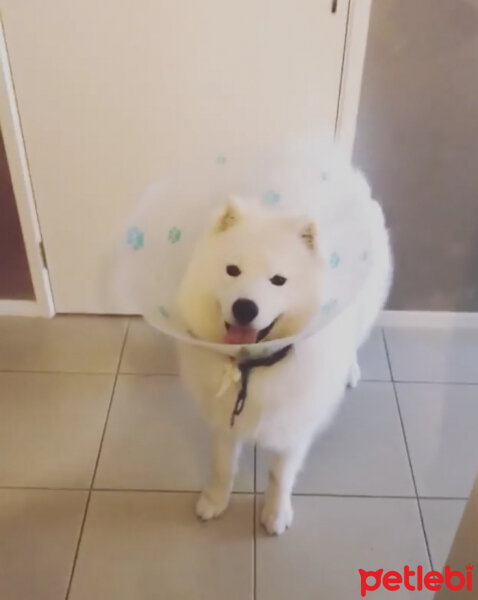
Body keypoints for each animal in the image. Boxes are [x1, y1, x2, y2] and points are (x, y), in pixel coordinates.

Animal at [176, 164, 392, 536]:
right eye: (232, 270)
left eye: (278, 280)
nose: (245, 307)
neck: (254, 365)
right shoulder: (224, 418)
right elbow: (222, 465)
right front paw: (214, 502)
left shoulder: (295, 424)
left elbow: (280, 474)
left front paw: (275, 516)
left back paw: (350, 371)